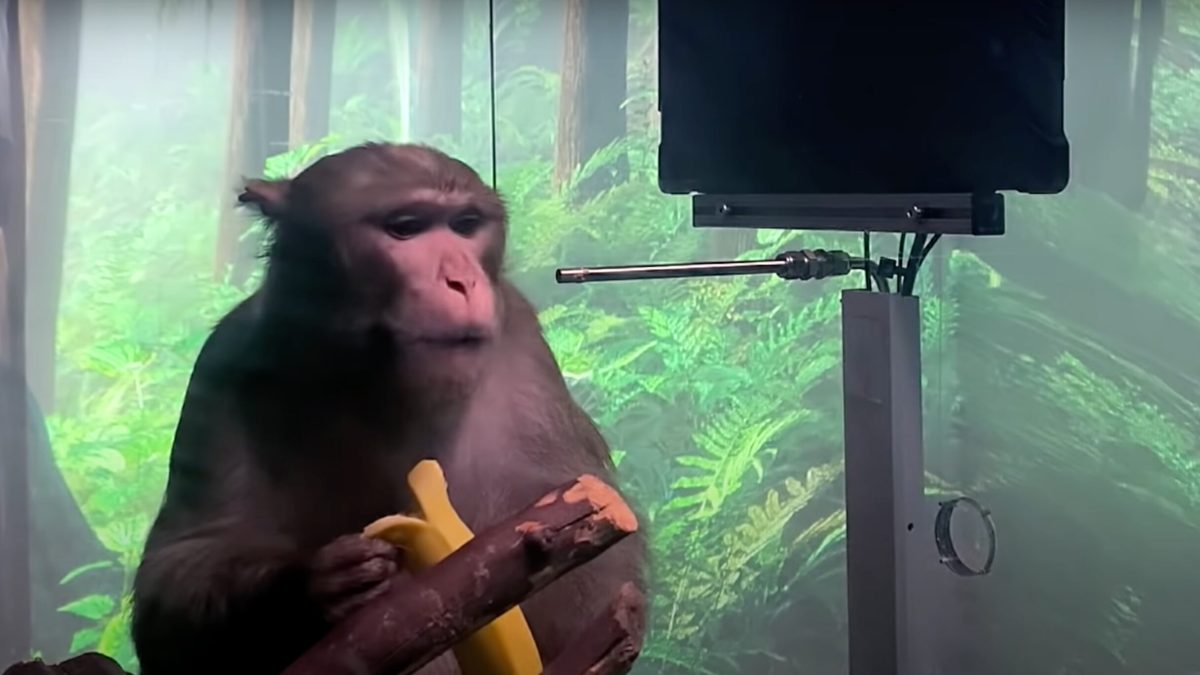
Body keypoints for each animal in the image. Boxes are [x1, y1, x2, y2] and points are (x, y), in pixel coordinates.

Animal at [128, 143, 647, 675]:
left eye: (465, 224)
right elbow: (179, 577)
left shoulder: (521, 348)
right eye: (405, 227)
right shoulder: (228, 362)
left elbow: (594, 579)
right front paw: (313, 585)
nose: (462, 280)